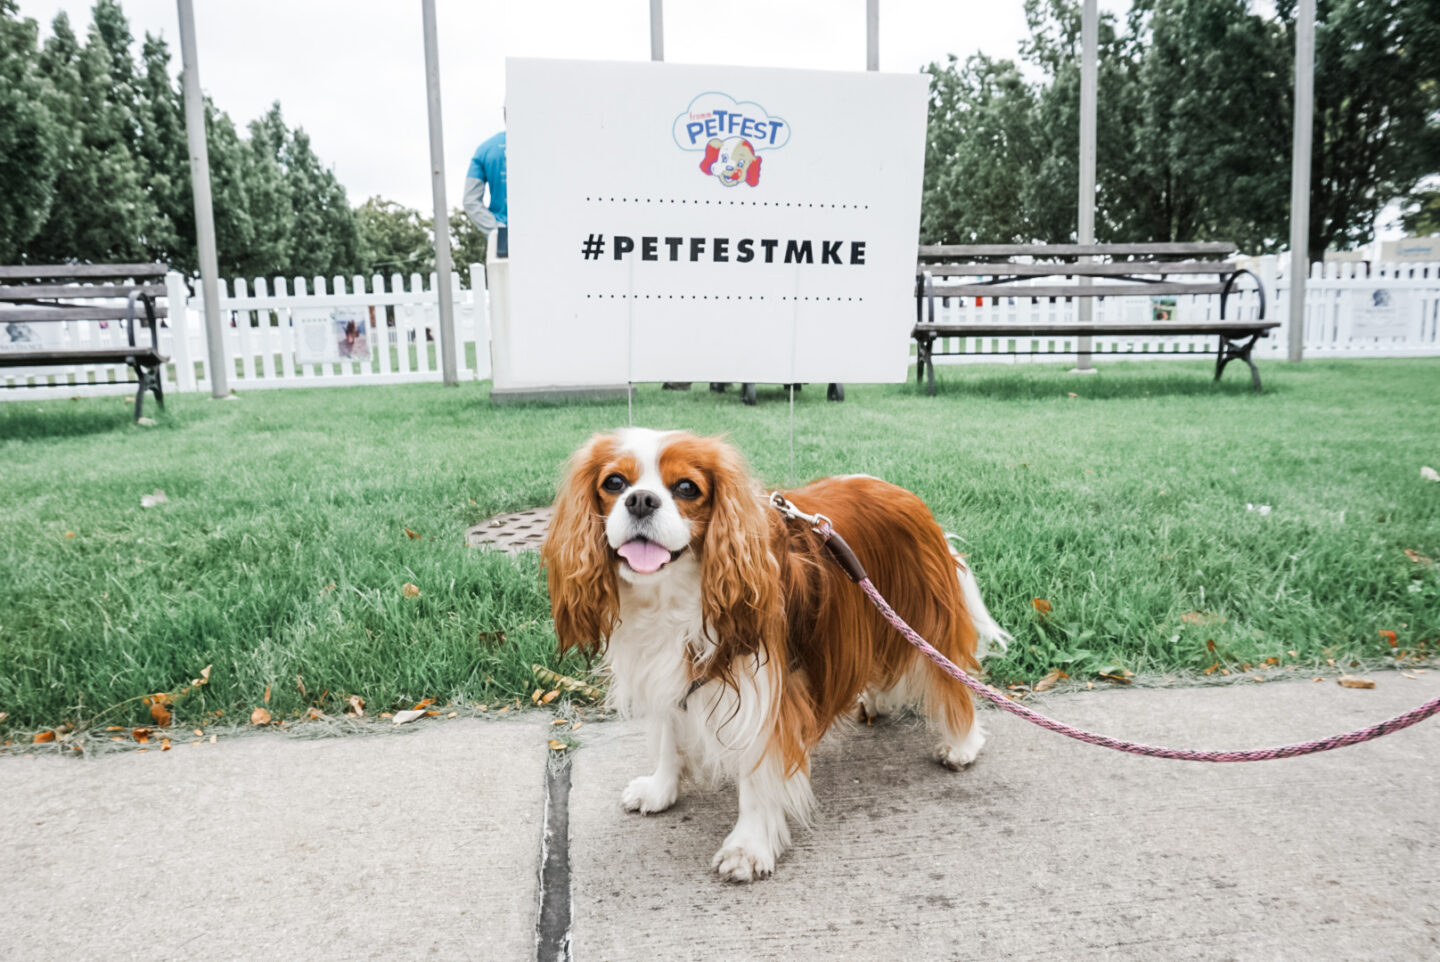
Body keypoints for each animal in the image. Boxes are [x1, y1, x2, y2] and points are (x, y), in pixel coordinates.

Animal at [535, 429, 1008, 881]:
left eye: (687, 488)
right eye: (614, 483)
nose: (640, 500)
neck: (675, 593)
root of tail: (903, 493)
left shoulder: (766, 692)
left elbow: (757, 777)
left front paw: (748, 848)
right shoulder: (668, 672)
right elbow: (669, 736)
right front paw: (661, 790)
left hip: (923, 617)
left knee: (951, 681)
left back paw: (962, 743)